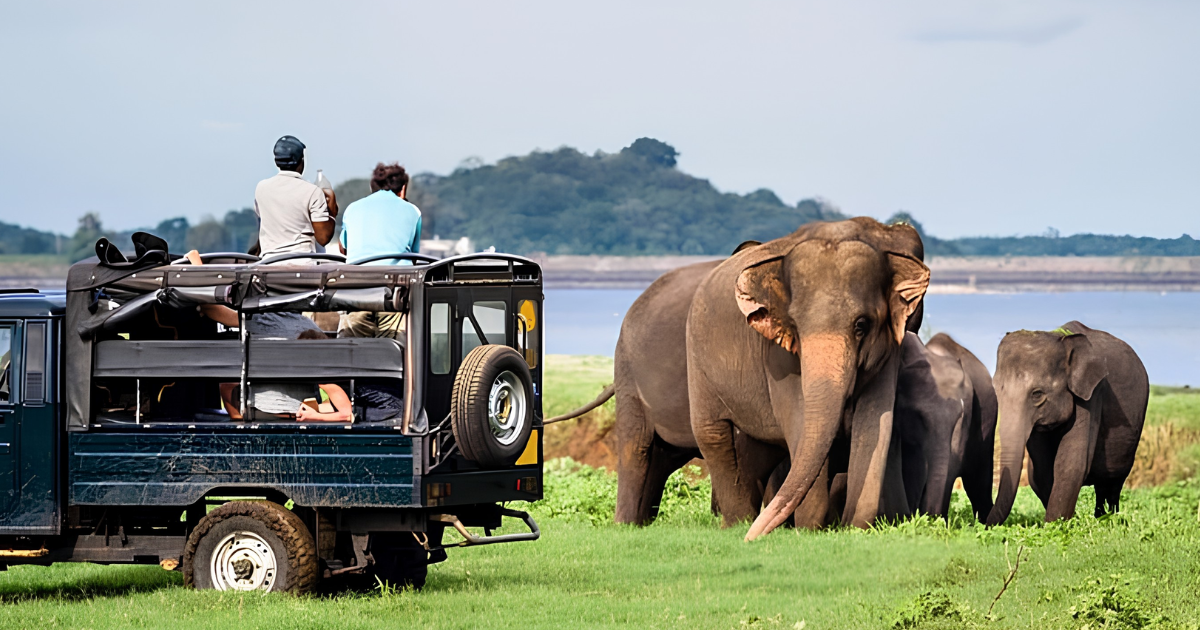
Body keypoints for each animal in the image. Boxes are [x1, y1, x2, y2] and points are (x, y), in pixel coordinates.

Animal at [686, 217, 929, 539]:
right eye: (796, 326)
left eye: (861, 325)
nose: (751, 538)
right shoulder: (778, 356)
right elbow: (800, 422)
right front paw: (810, 529)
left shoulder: (890, 347)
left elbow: (876, 421)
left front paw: (853, 527)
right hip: (697, 361)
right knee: (712, 433)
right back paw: (737, 523)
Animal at [986, 321, 1148, 525]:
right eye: (995, 390)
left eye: (1037, 394)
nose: (982, 524)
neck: (1061, 338)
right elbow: (1041, 471)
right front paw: (1065, 522)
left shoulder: (1092, 393)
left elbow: (1071, 462)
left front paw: (1056, 526)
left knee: (1112, 483)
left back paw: (1109, 519)